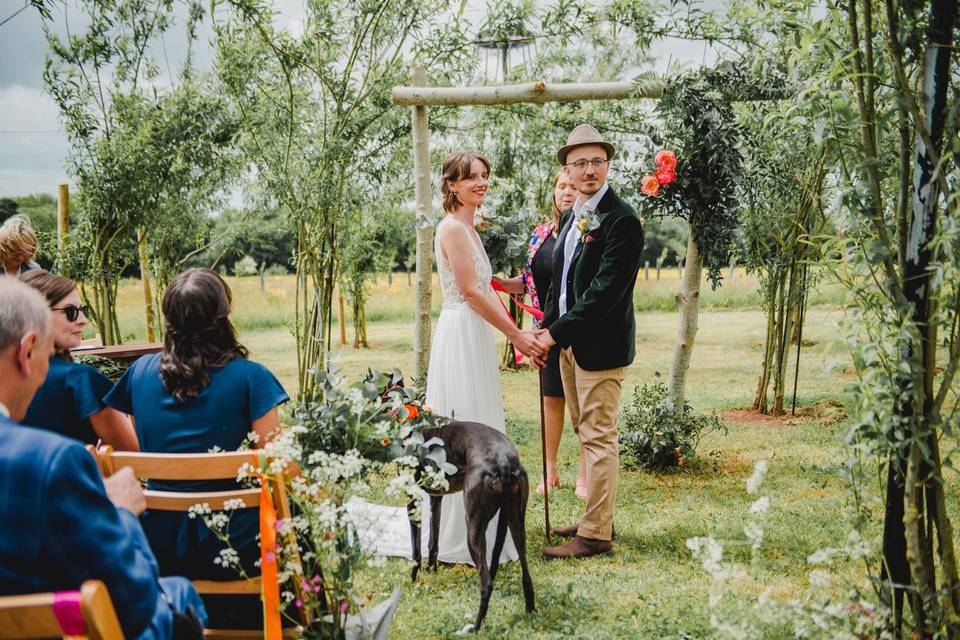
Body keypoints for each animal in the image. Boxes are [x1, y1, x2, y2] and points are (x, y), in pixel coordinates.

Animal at [406, 420, 536, 632]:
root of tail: (504, 463)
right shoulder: (436, 497)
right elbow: (433, 541)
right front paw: (432, 570)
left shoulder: (412, 497)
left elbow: (416, 550)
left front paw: (412, 580)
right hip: (516, 521)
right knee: (526, 574)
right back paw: (530, 612)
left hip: (474, 526)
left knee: (487, 583)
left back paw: (475, 627)